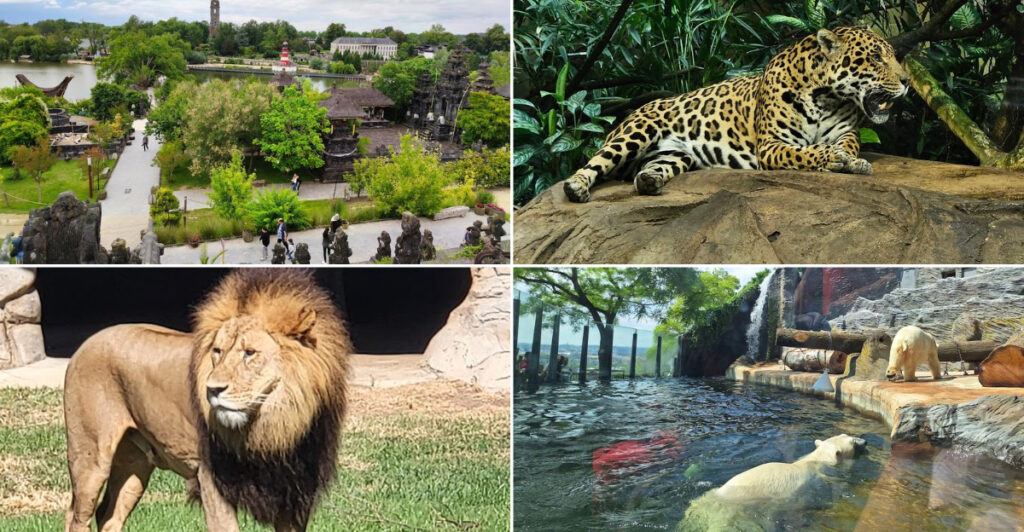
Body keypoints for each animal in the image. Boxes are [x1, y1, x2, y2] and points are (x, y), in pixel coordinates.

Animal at [63, 269, 351, 531]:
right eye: (217, 351)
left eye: (249, 353)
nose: (212, 389)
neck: (273, 427)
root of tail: (86, 343)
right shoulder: (211, 479)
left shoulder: (296, 491)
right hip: (89, 458)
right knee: (77, 517)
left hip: (135, 463)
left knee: (109, 516)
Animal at [679, 434, 867, 531]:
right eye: (853, 441)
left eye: (847, 435)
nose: (865, 441)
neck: (815, 461)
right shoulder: (811, 489)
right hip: (731, 515)